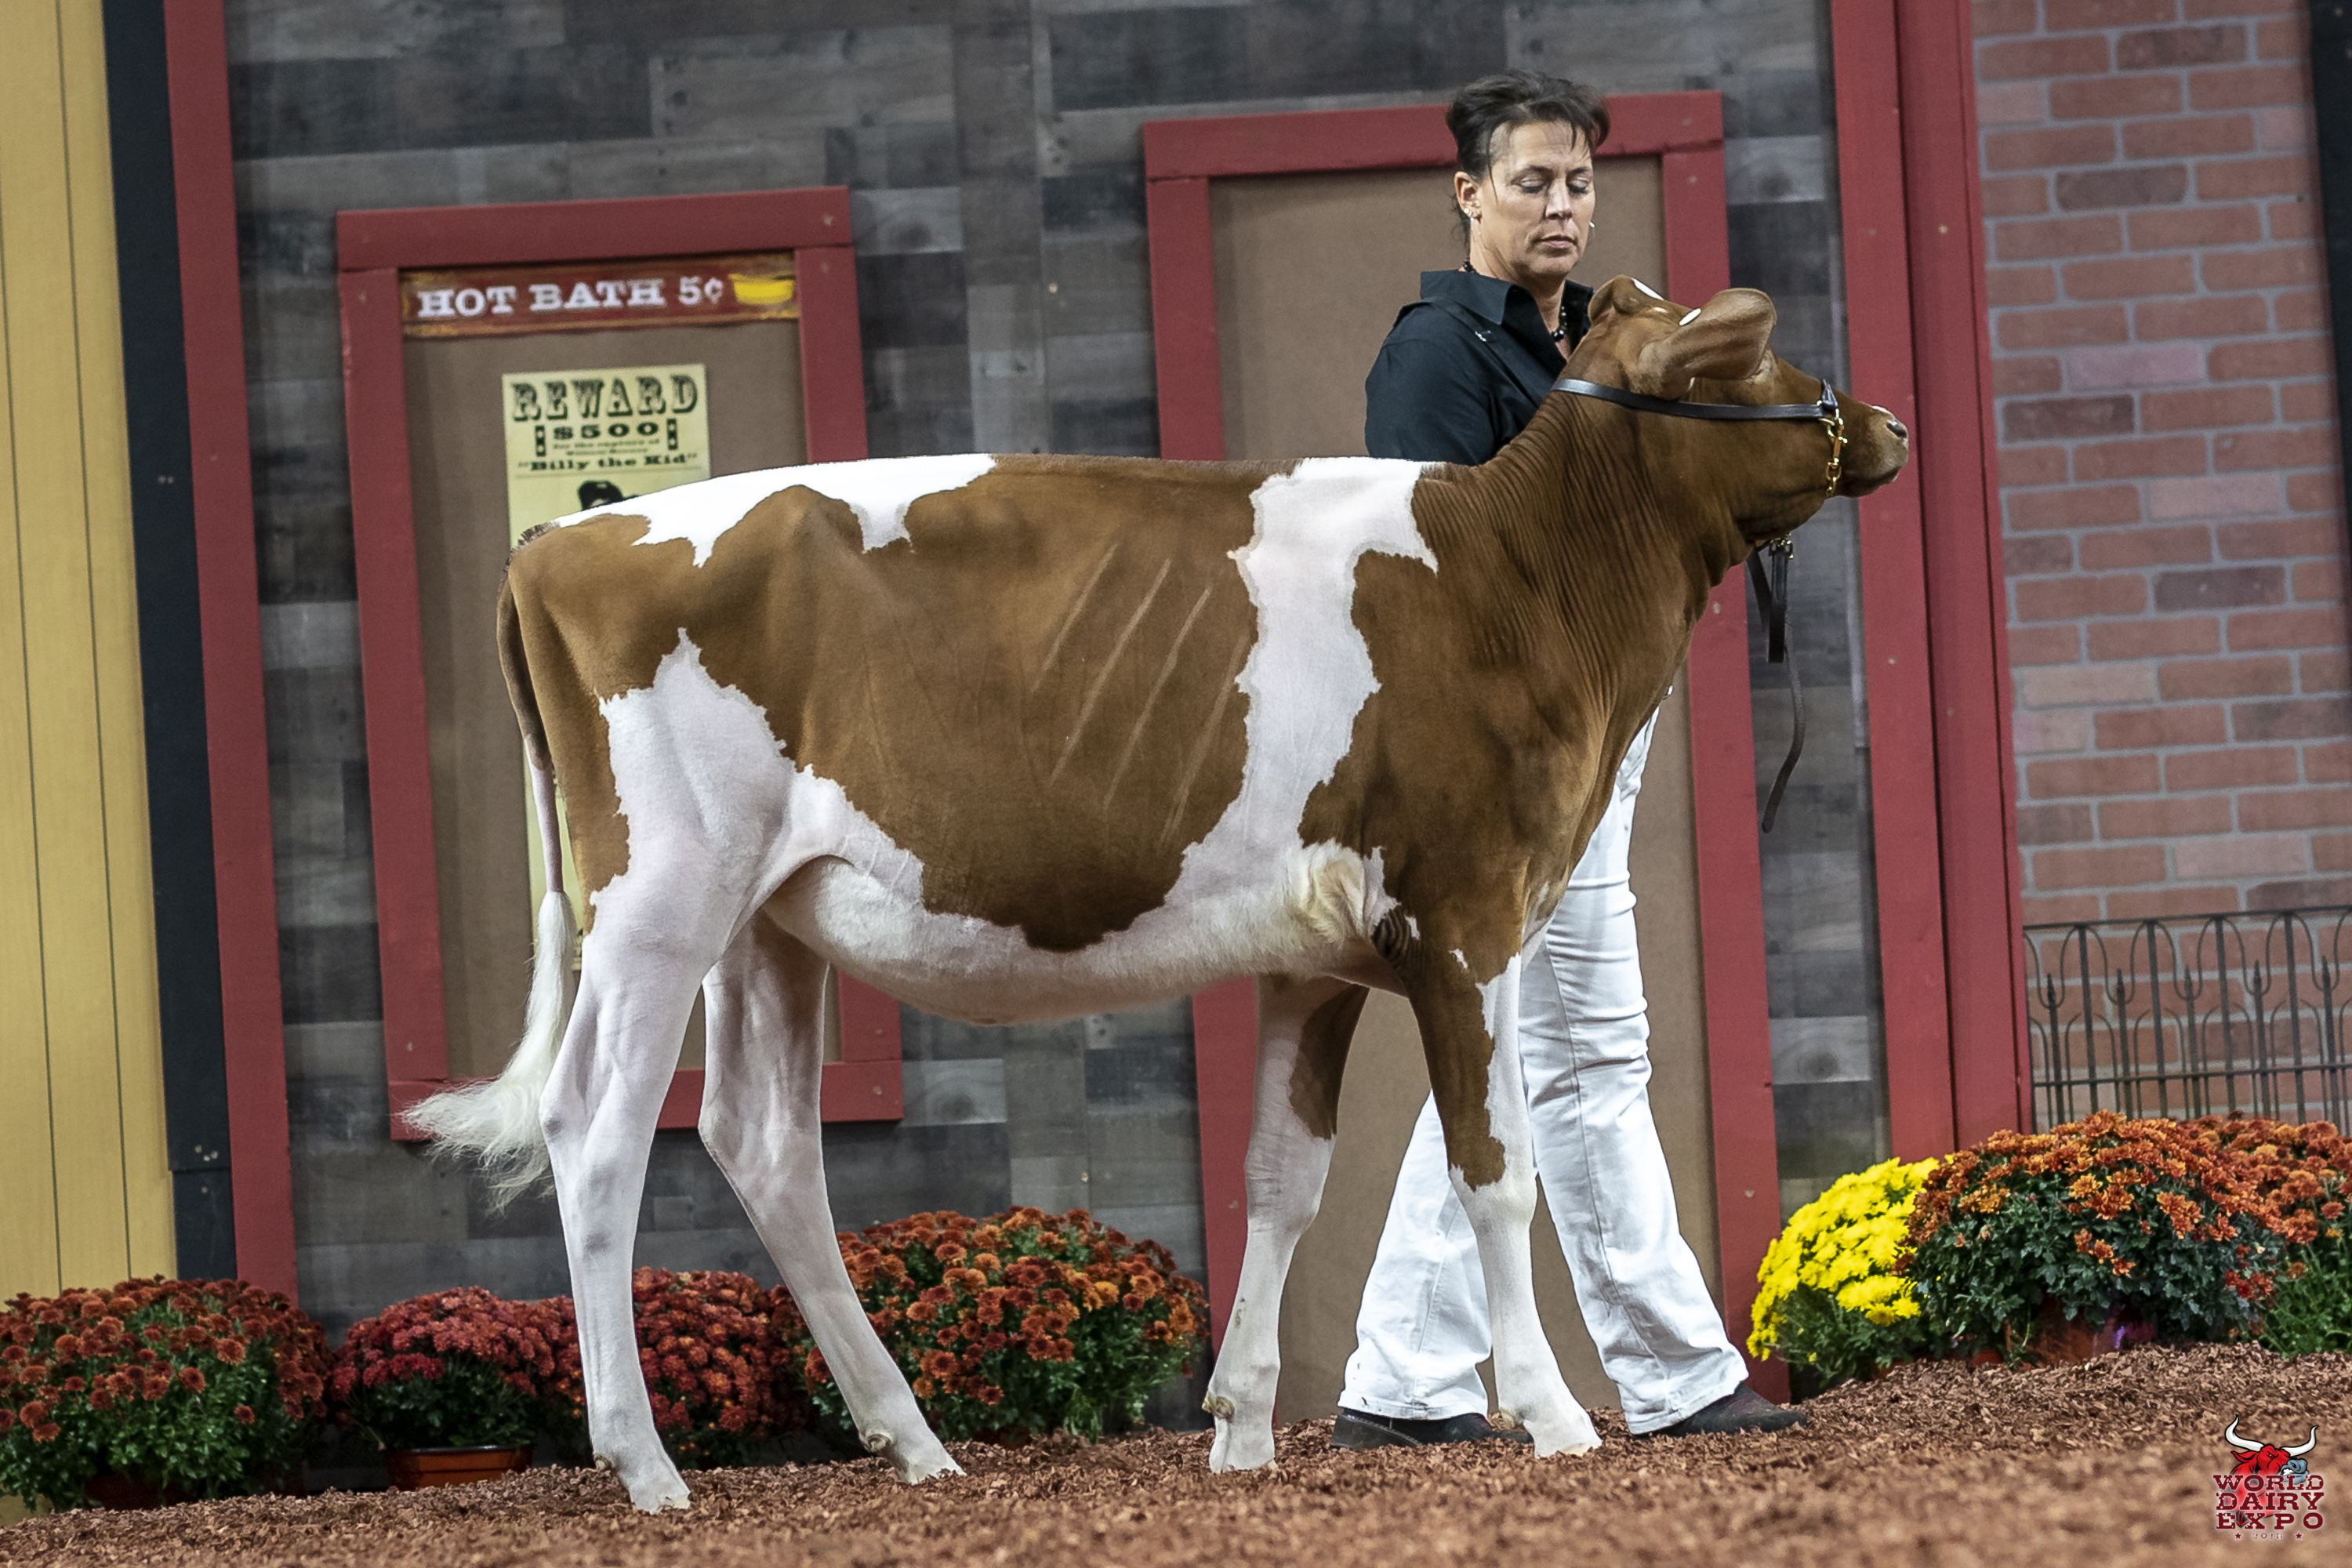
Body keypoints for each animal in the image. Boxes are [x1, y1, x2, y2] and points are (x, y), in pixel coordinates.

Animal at [408, 274, 1909, 1512]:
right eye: (1756, 355)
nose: (1885, 419)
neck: (1519, 578)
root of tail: (560, 542)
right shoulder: (1469, 918)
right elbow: (1495, 1174)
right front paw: (1549, 1418)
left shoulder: (1321, 957)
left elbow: (1284, 1180)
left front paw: (1241, 1429)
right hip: (660, 894)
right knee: (598, 1128)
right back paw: (644, 1463)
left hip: (770, 920)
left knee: (761, 1140)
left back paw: (915, 1442)